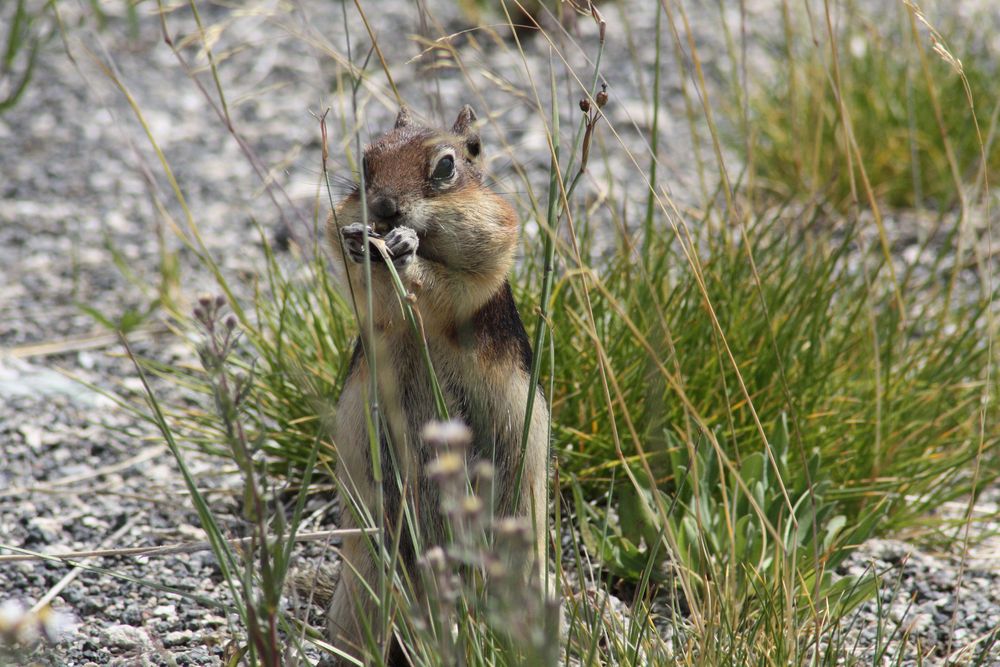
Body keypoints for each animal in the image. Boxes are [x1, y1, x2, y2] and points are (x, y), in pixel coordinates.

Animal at [326, 105, 548, 664]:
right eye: (366, 160)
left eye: (447, 165)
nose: (384, 207)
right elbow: (364, 287)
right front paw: (362, 244)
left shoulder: (491, 243)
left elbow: (457, 284)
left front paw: (406, 251)